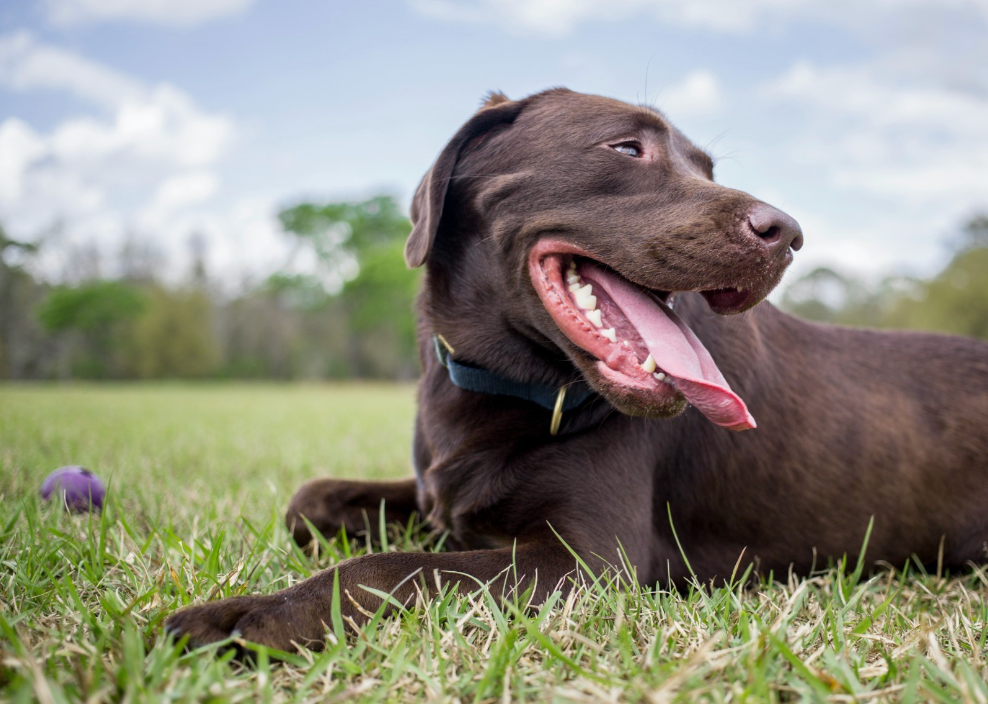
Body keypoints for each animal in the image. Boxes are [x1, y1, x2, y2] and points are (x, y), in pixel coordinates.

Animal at [166, 89, 988, 656]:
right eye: (626, 149)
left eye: (705, 168)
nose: (786, 233)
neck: (505, 383)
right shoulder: (440, 495)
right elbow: (311, 499)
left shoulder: (588, 563)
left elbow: (391, 569)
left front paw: (245, 616)